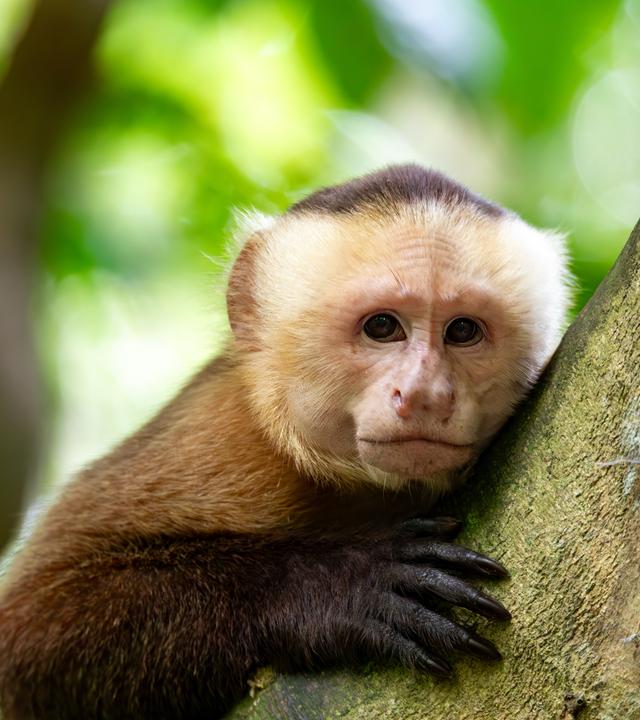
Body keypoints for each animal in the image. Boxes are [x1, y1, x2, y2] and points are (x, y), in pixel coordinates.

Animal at [0, 164, 571, 720]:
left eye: (463, 331)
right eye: (382, 326)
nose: (425, 394)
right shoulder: (221, 434)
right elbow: (27, 641)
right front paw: (341, 585)